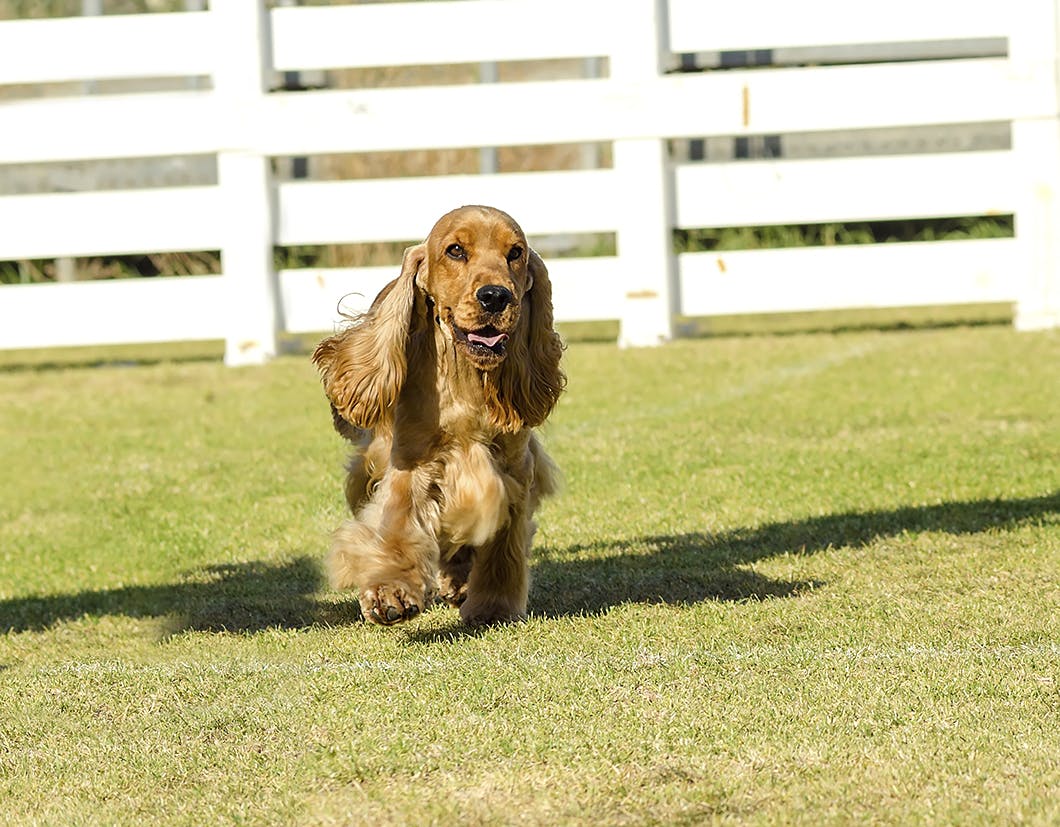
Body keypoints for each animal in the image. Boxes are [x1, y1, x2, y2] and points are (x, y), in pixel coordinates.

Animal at [311, 206, 568, 627]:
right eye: (455, 250)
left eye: (515, 253)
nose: (496, 296)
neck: (464, 376)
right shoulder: (410, 462)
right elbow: (398, 525)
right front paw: (390, 594)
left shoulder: (514, 467)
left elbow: (504, 542)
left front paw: (494, 604)